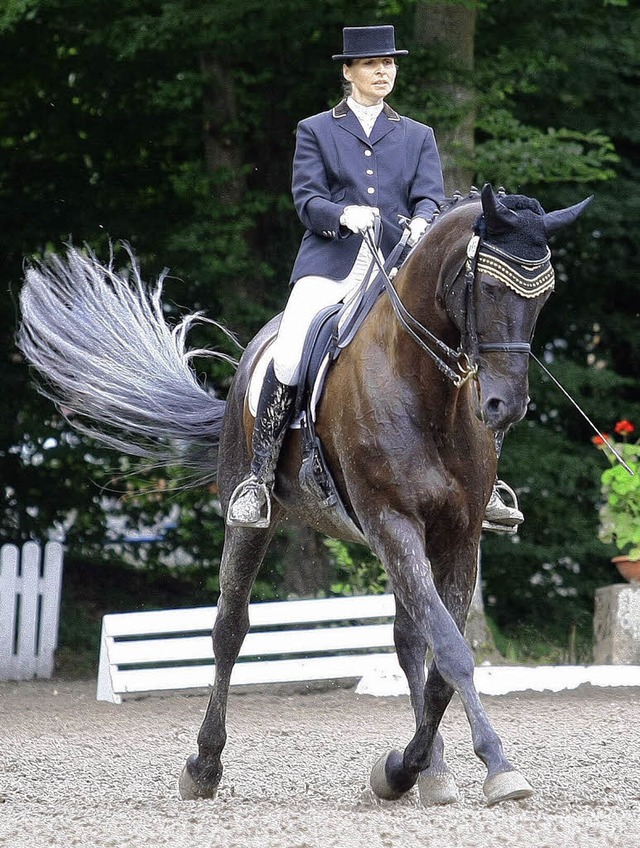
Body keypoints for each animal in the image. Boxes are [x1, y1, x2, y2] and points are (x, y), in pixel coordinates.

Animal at [17, 184, 592, 808]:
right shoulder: (391, 521)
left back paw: (430, 771)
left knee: (406, 639)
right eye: (487, 287)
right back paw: (204, 765)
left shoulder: (458, 536)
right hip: (252, 517)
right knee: (230, 629)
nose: (504, 407)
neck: (423, 386)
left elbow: (441, 658)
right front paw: (477, 766)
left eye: (546, 296)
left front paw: (419, 767)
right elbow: (452, 651)